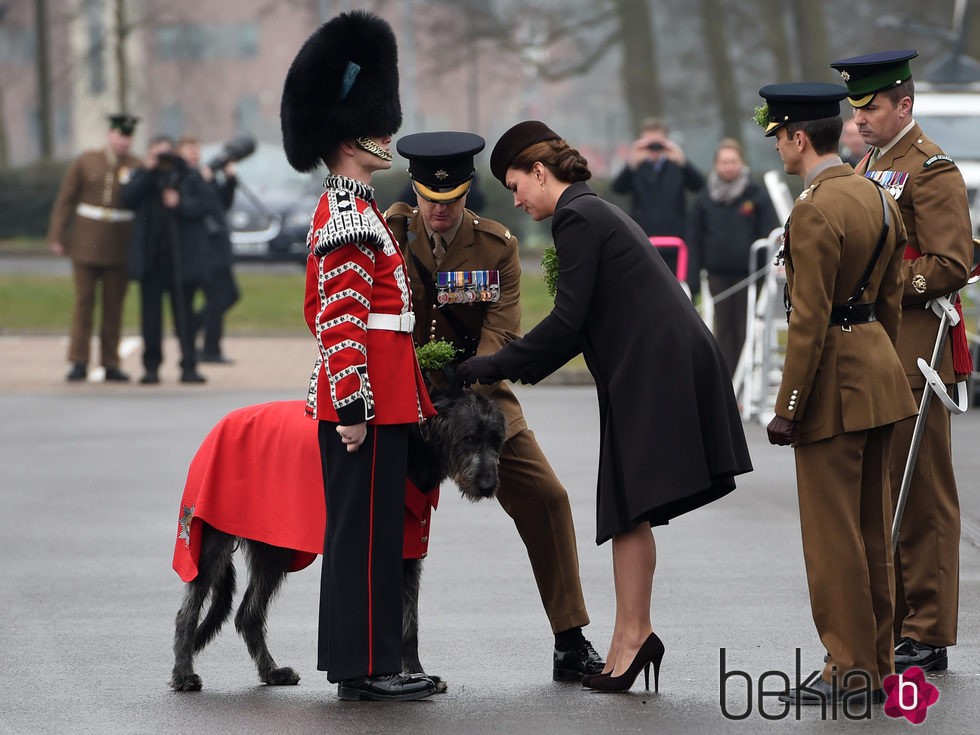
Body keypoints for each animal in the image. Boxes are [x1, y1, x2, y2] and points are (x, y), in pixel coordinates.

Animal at [170, 392, 506, 696]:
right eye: (470, 438)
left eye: (495, 440)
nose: (488, 485)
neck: (414, 451)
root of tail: (219, 426)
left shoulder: (409, 553)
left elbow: (409, 625)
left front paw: (419, 674)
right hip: (211, 539)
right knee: (187, 612)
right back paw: (184, 675)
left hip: (273, 549)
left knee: (248, 614)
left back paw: (271, 672)